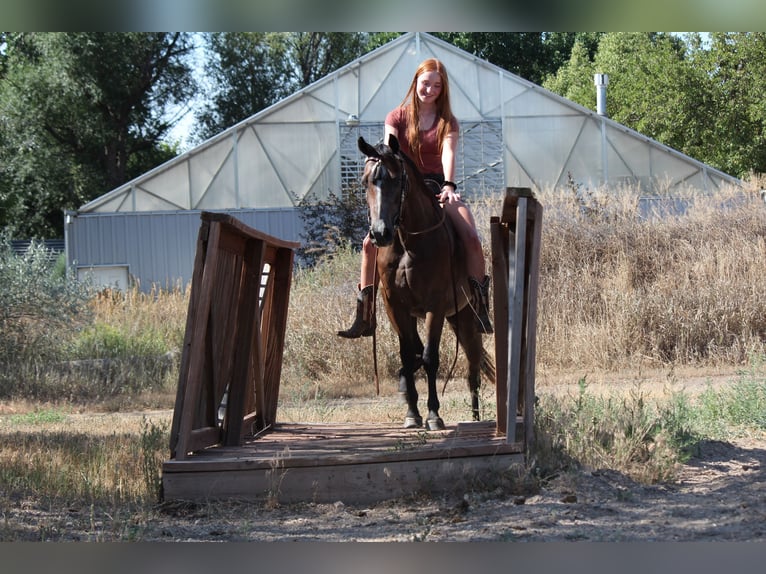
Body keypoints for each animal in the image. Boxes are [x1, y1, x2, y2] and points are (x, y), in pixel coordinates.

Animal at [358, 135, 495, 430]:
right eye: (365, 182)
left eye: (396, 180)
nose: (380, 233)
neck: (407, 241)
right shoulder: (396, 307)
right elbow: (409, 355)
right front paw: (412, 412)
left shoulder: (435, 306)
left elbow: (431, 357)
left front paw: (433, 414)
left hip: (466, 319)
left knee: (473, 369)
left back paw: (476, 418)